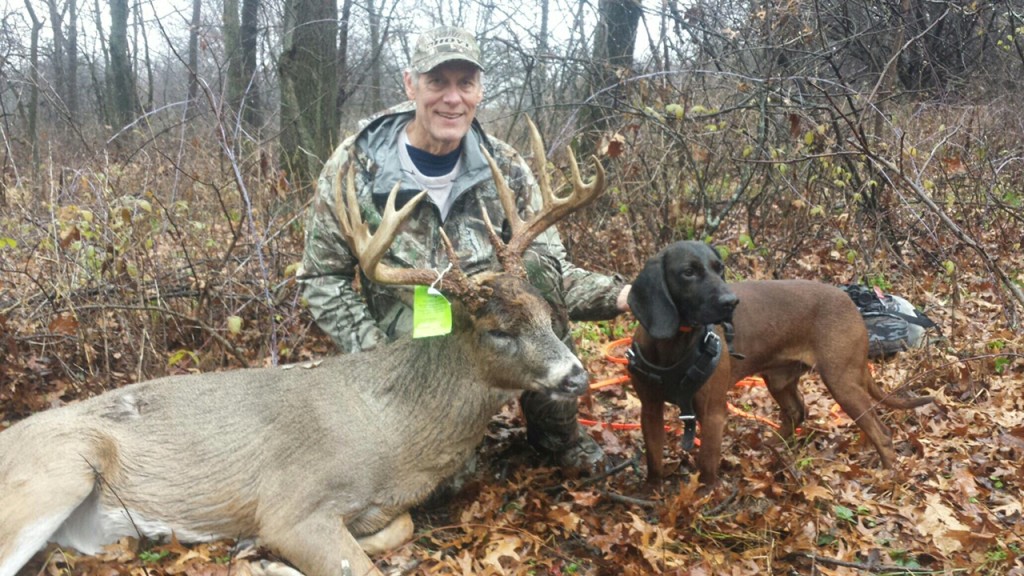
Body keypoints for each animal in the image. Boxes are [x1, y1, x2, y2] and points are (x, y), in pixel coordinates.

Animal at [0, 118, 605, 576]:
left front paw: (256, 554)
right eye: (497, 329)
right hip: (56, 472)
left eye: (546, 314)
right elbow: (356, 567)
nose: (576, 374)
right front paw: (264, 558)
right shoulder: (291, 504)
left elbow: (398, 529)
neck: (394, 433)